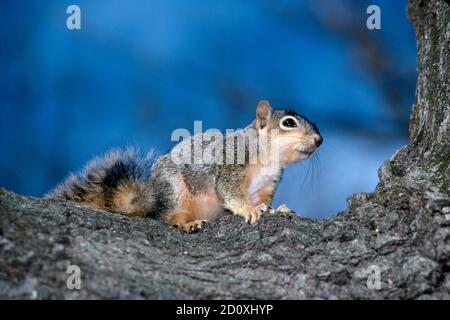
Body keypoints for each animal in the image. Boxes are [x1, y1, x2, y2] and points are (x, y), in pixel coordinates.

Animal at [46, 101, 324, 234]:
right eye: (289, 123)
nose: (319, 140)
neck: (269, 159)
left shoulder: (266, 185)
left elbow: (263, 200)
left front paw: (276, 209)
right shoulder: (230, 164)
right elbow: (230, 192)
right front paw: (249, 210)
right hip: (174, 189)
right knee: (167, 216)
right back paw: (187, 224)